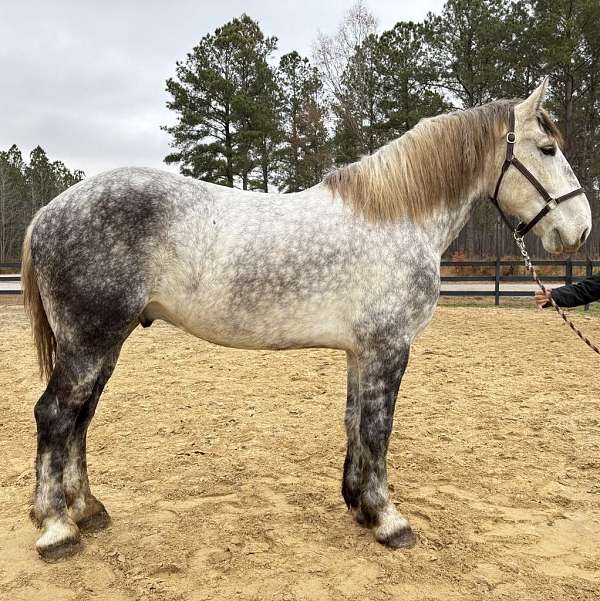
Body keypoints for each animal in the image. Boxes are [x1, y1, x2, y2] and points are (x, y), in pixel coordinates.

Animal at [22, 79, 592, 556]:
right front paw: (389, 520)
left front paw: (359, 505)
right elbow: (379, 428)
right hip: (90, 342)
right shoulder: (389, 346)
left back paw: (87, 510)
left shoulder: (363, 351)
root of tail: (48, 212)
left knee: (80, 419)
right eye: (547, 149)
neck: (399, 217)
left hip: (103, 345)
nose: (579, 229)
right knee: (55, 416)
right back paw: (57, 529)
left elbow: (355, 422)